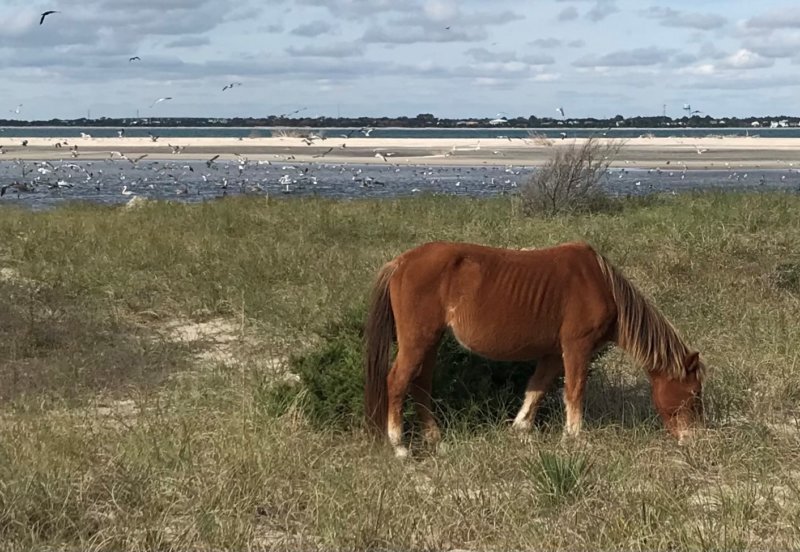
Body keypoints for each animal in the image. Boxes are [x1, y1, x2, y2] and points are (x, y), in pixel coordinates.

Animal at [364, 242, 708, 458]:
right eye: (693, 395)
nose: (693, 440)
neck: (602, 285)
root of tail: (401, 263)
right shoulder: (576, 347)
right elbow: (574, 391)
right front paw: (575, 438)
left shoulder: (554, 353)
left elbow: (537, 388)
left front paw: (521, 430)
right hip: (417, 341)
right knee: (397, 382)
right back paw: (400, 446)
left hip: (430, 342)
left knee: (421, 385)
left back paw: (436, 440)